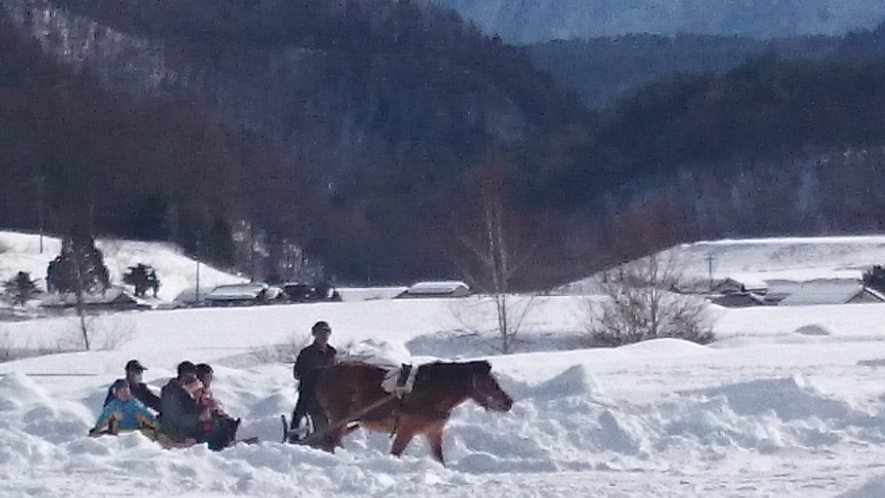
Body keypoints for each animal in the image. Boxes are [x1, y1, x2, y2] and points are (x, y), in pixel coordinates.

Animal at [314, 360, 516, 464]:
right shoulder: (406, 431)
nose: (509, 402)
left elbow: (439, 459)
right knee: (330, 442)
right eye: (488, 381)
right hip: (339, 419)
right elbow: (395, 453)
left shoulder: (434, 432)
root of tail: (323, 372)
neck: (433, 390)